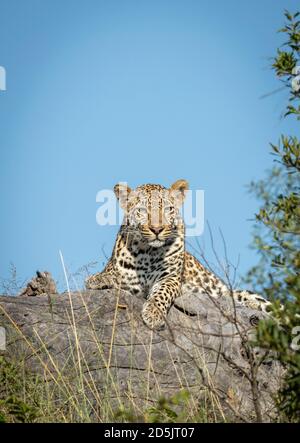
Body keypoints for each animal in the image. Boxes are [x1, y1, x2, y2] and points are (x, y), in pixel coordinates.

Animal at [85, 180, 272, 330]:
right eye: (142, 210)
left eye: (168, 209)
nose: (157, 229)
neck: (147, 252)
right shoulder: (128, 280)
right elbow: (112, 274)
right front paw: (98, 279)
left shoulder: (171, 278)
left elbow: (162, 293)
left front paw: (153, 313)